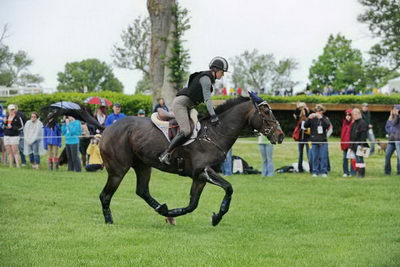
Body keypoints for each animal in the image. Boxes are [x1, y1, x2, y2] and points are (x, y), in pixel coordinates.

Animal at [95, 95, 284, 227]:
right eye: (266, 112)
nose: (280, 135)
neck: (215, 133)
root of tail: (107, 129)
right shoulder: (204, 171)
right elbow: (229, 188)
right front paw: (217, 216)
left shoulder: (199, 177)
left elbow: (192, 204)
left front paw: (175, 214)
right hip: (118, 170)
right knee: (105, 195)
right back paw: (109, 220)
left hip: (143, 166)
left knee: (142, 191)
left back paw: (163, 210)